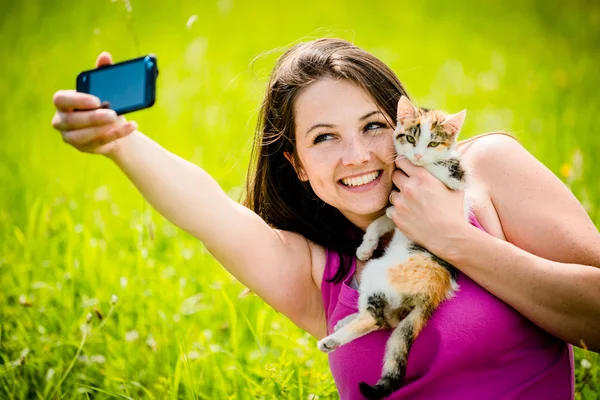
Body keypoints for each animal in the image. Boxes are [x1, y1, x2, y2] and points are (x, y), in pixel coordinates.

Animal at [316, 97, 472, 400]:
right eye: (411, 138)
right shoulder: (395, 207)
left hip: (382, 273)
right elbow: (379, 221)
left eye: (433, 143)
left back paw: (333, 339)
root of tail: (432, 297)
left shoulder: (456, 177)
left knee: (376, 320)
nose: (418, 156)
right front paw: (366, 247)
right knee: (384, 318)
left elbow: (439, 173)